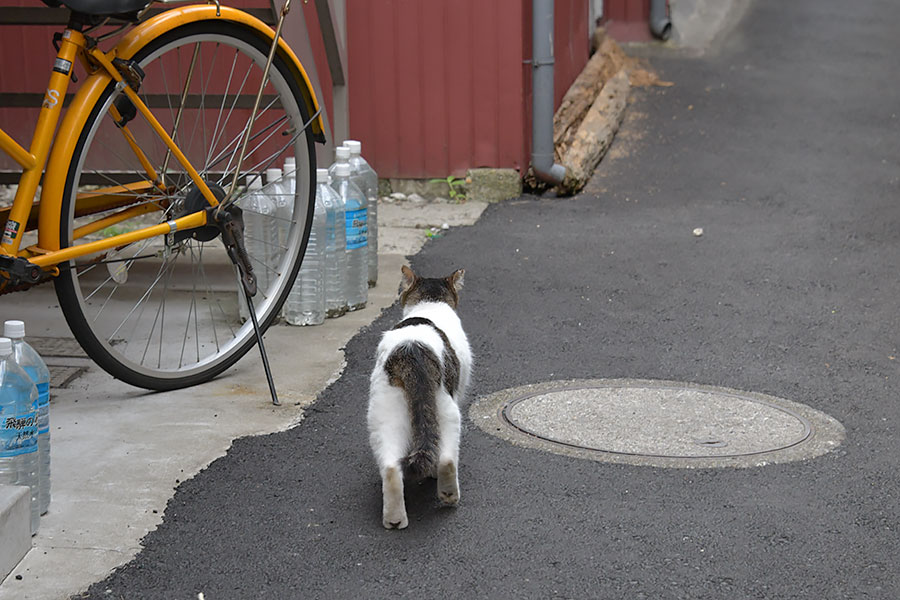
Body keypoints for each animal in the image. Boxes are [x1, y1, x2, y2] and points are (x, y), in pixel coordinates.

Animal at [368, 264, 474, 528]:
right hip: (448, 410)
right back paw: (448, 495)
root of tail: (413, 350)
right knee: (446, 458)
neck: (429, 304)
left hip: (385, 416)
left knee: (391, 468)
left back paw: (395, 520)